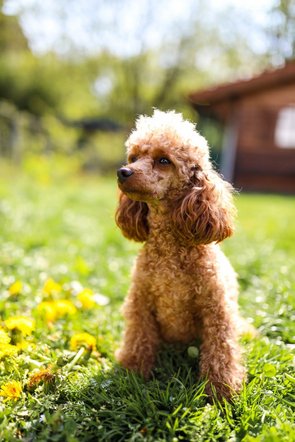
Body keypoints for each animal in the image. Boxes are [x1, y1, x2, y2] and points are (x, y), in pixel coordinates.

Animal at [115, 109, 247, 398]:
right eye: (134, 157)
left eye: (164, 160)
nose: (123, 171)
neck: (170, 251)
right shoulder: (141, 303)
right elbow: (139, 338)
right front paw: (133, 372)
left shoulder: (217, 311)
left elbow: (221, 351)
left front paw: (220, 390)